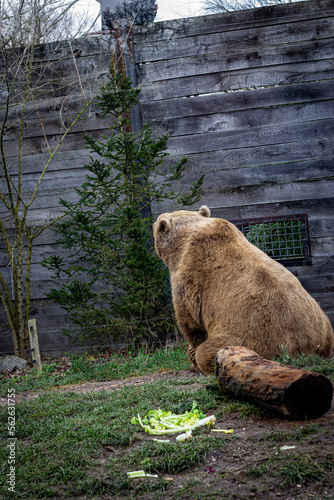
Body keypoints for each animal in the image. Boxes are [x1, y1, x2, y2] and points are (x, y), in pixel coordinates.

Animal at [153, 205, 332, 374]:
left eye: (156, 225)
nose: (155, 223)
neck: (180, 247)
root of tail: (305, 348)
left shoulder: (191, 276)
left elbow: (190, 322)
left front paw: (192, 358)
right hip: (323, 326)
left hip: (251, 339)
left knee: (207, 352)